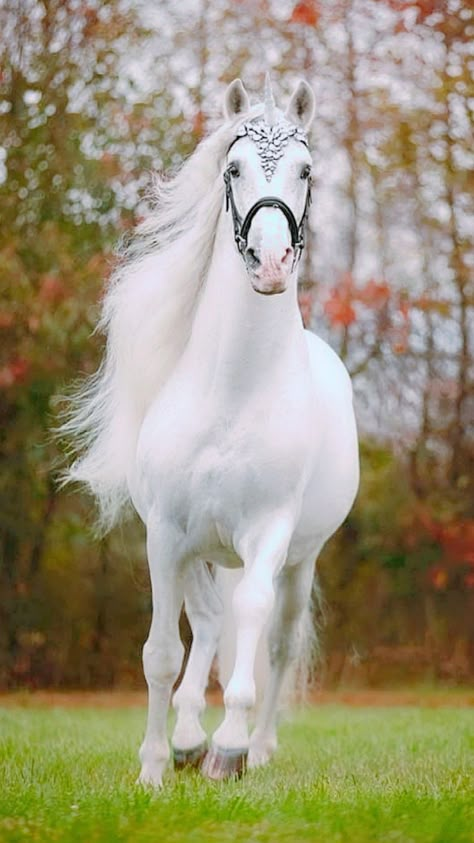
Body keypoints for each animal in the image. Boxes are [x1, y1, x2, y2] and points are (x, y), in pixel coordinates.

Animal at [65, 77, 358, 784]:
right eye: (233, 169)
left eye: (307, 171)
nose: (272, 262)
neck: (233, 392)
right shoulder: (168, 536)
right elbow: (162, 653)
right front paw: (153, 765)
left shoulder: (270, 532)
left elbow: (252, 622)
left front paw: (231, 747)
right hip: (202, 551)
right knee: (205, 622)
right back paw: (187, 737)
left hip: (300, 558)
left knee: (276, 643)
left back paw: (255, 746)